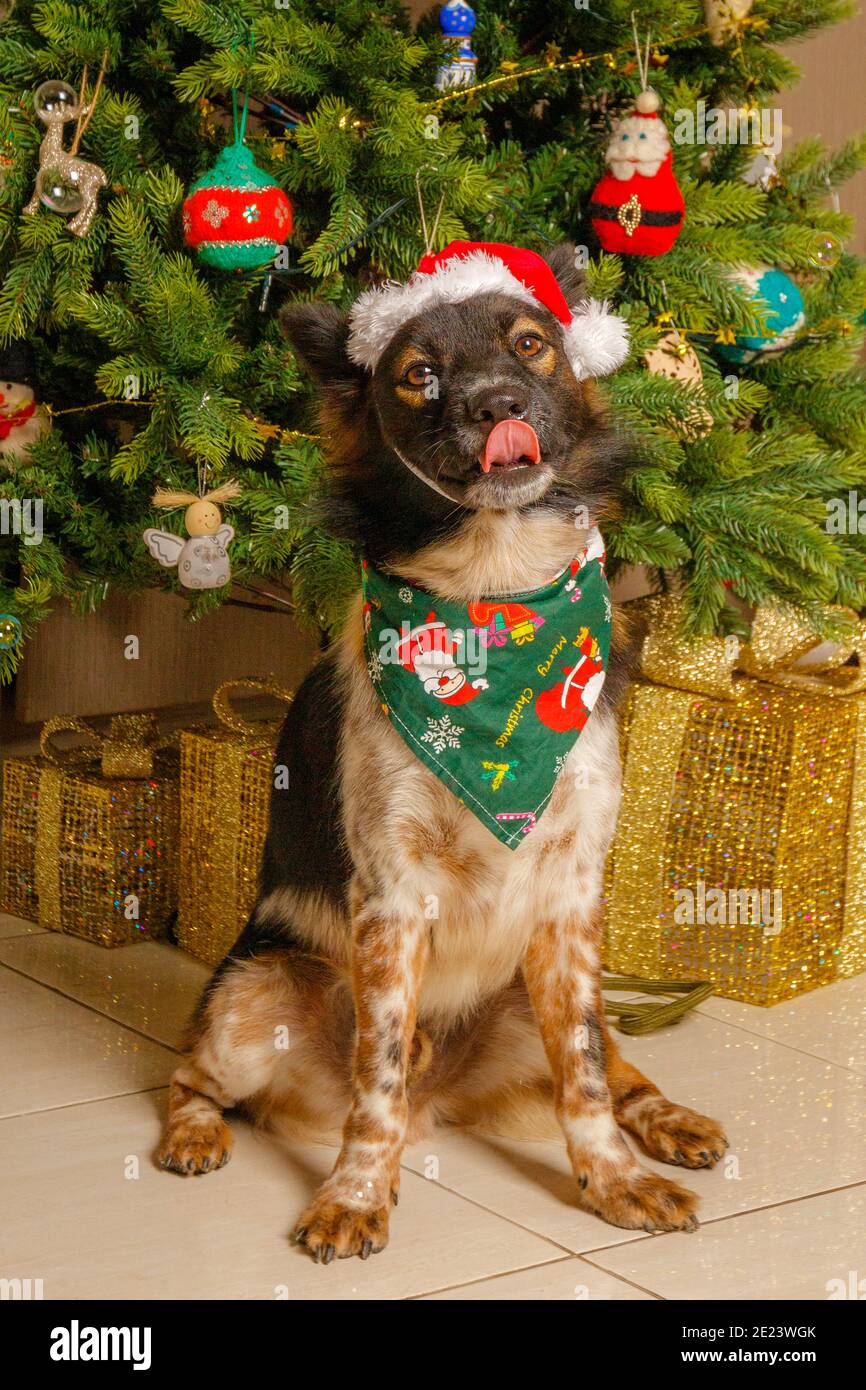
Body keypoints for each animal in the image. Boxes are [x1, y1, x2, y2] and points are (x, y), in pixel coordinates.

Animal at [159, 239, 728, 1262]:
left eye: (533, 344)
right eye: (417, 374)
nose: (497, 405)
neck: (494, 591)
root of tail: (444, 1107)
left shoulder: (573, 891)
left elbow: (586, 1072)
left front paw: (614, 1179)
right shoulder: (390, 894)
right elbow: (377, 1070)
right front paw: (356, 1191)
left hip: (528, 995)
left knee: (617, 1062)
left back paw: (667, 1121)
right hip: (254, 995)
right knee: (191, 1076)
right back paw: (198, 1135)